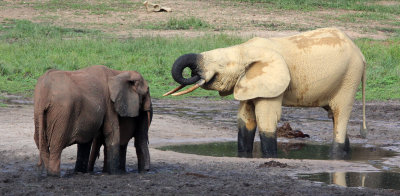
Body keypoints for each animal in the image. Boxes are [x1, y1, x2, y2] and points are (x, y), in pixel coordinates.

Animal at [164, 27, 368, 158]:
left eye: (220, 65)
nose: (193, 73)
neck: (243, 49)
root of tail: (361, 54)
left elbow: (266, 119)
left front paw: (269, 157)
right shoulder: (248, 82)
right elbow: (244, 118)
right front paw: (243, 155)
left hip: (350, 76)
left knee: (340, 114)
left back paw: (336, 156)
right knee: (332, 115)